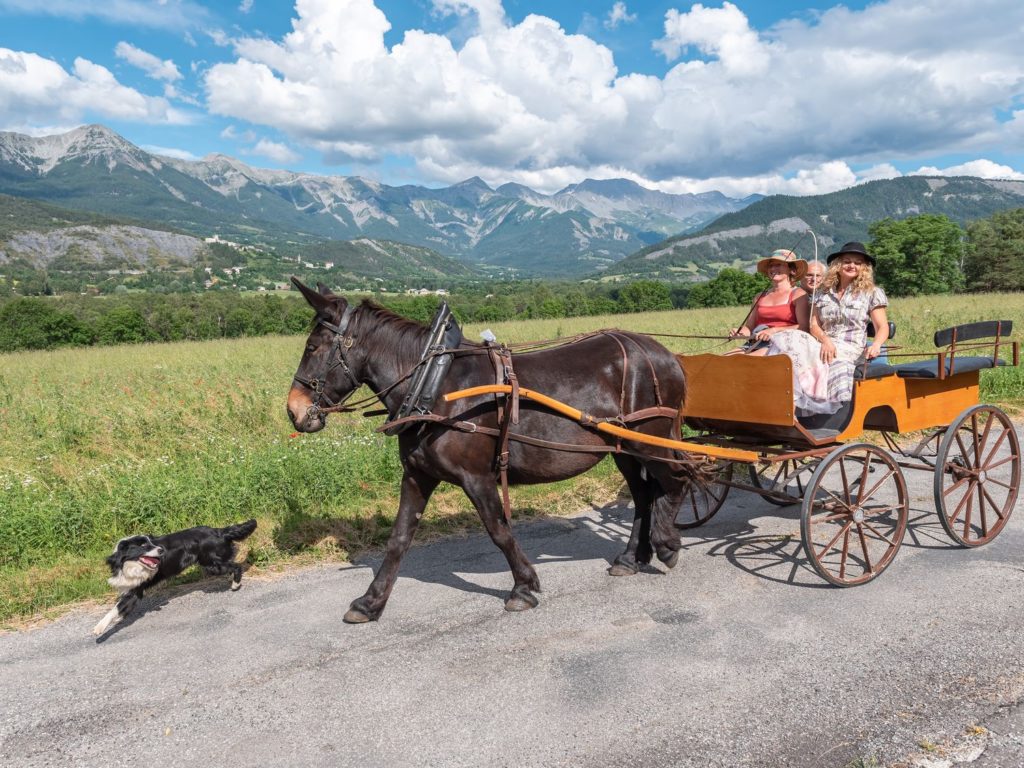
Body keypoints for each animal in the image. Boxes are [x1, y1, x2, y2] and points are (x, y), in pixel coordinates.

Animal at [94, 520, 258, 638]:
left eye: (151, 543)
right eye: (143, 545)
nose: (161, 550)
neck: (128, 564)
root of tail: (218, 531)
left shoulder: (135, 591)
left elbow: (114, 609)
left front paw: (99, 628)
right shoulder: (131, 589)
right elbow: (121, 609)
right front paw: (118, 619)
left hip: (211, 564)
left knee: (236, 566)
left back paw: (235, 584)